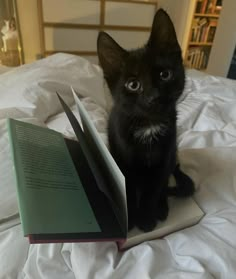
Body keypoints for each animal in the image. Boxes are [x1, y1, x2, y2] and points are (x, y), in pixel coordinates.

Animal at [97, 9, 195, 232]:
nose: (154, 97)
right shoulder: (124, 163)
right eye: (133, 85)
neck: (149, 126)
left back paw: (162, 207)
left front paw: (147, 219)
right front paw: (132, 218)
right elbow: (130, 191)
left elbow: (154, 190)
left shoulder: (164, 159)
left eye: (165, 74)